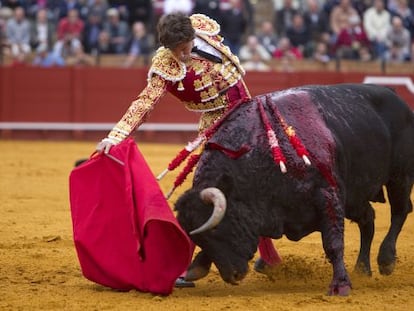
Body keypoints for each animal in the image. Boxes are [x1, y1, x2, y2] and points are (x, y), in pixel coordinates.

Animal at [175, 83, 414, 298]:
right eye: (199, 239)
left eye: (216, 230)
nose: (232, 275)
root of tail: (393, 94)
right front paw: (196, 267)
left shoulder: (329, 196)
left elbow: (333, 243)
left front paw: (340, 286)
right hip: (356, 195)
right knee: (368, 219)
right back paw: (363, 269)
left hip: (400, 177)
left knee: (400, 211)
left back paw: (386, 260)